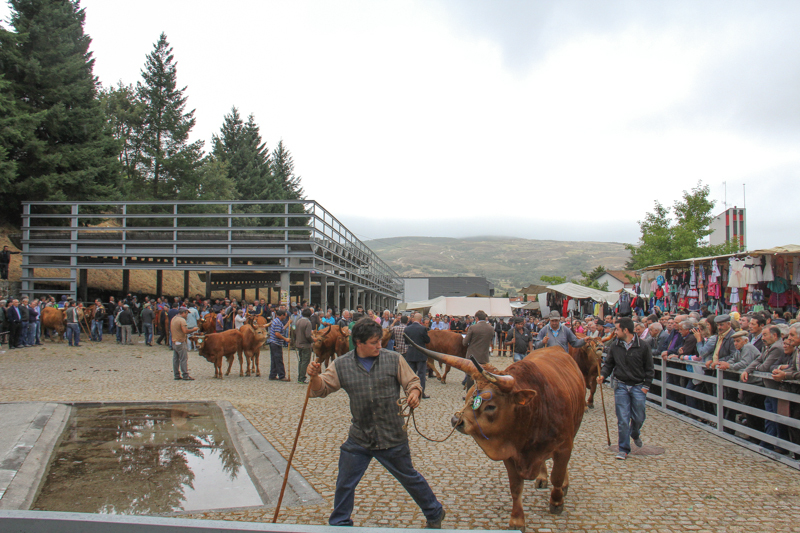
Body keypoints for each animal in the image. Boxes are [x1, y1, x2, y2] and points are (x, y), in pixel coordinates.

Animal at [406, 334, 580, 528]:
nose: (456, 420)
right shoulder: (510, 453)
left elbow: (557, 476)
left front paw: (556, 502)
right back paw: (541, 478)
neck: (535, 411)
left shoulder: (564, 446)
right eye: (468, 396)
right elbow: (516, 487)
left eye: (490, 406)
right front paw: (517, 519)